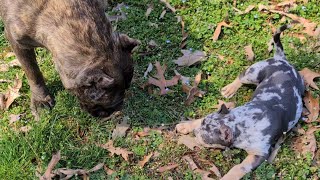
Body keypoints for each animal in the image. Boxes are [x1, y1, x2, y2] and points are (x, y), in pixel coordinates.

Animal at [176, 24, 304, 179]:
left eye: (204, 139)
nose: (195, 132)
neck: (241, 123)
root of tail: (281, 59)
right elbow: (199, 118)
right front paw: (186, 126)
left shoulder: (258, 155)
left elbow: (239, 167)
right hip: (253, 72)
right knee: (240, 77)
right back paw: (230, 89)